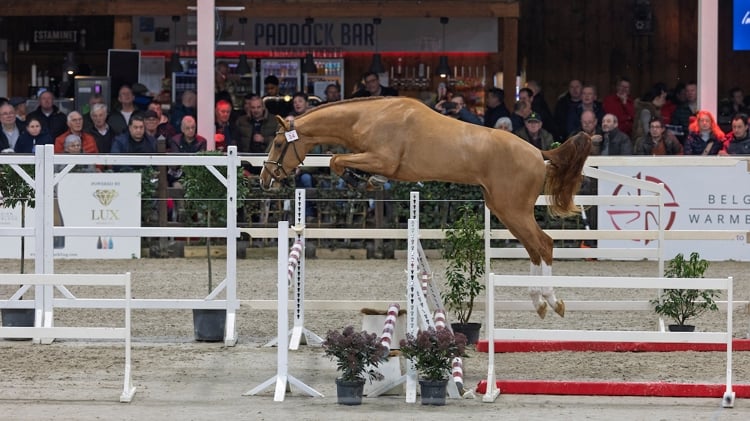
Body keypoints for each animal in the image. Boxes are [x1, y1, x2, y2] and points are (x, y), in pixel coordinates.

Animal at [262, 96, 596, 318]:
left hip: (513, 209)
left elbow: (336, 160)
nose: (266, 179)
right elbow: (339, 160)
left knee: (544, 244)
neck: (369, 117)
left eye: (278, 144)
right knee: (534, 248)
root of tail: (538, 152)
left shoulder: (382, 158)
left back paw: (552, 300)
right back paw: (537, 301)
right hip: (506, 210)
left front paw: (361, 180)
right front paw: (364, 179)